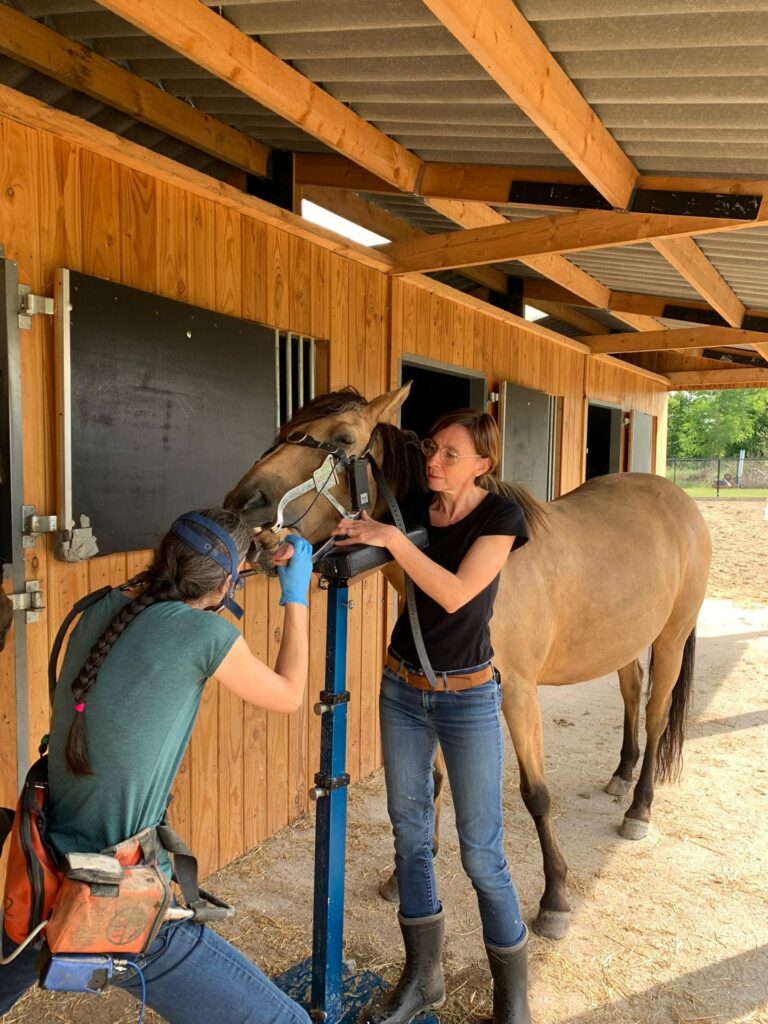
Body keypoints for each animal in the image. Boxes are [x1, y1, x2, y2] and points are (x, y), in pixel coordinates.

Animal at [225, 382, 712, 937]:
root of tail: (681, 502)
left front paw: (555, 897)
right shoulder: (432, 684)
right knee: (632, 694)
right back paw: (623, 773)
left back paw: (639, 808)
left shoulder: (516, 693)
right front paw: (407, 873)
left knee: (656, 715)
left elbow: (536, 794)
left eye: (343, 437)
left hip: (670, 638)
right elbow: (432, 781)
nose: (244, 504)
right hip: (626, 641)